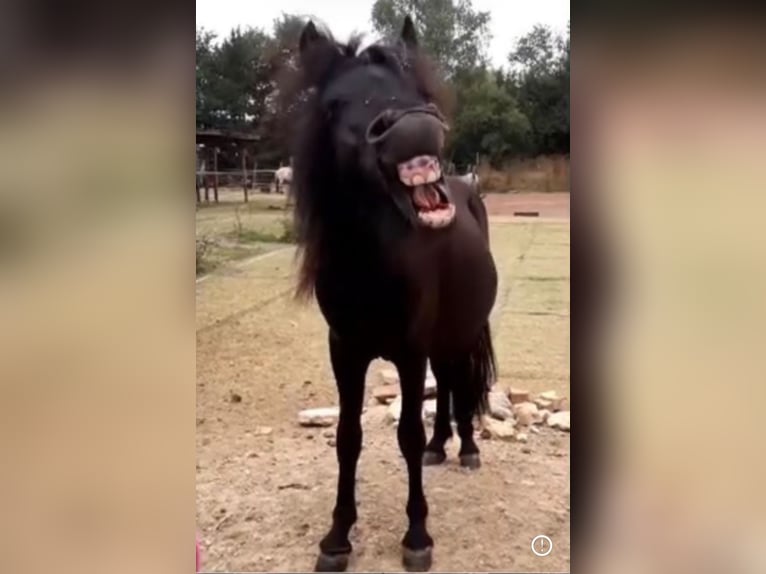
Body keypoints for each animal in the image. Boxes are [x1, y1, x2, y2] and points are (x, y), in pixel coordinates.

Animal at [288, 15, 498, 572]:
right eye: (335, 104)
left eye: (416, 90)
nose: (413, 126)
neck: (370, 267)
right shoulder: (345, 350)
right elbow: (348, 437)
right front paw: (337, 537)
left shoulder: (409, 350)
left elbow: (406, 434)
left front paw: (417, 536)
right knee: (446, 385)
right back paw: (442, 446)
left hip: (459, 331)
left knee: (460, 381)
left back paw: (466, 448)